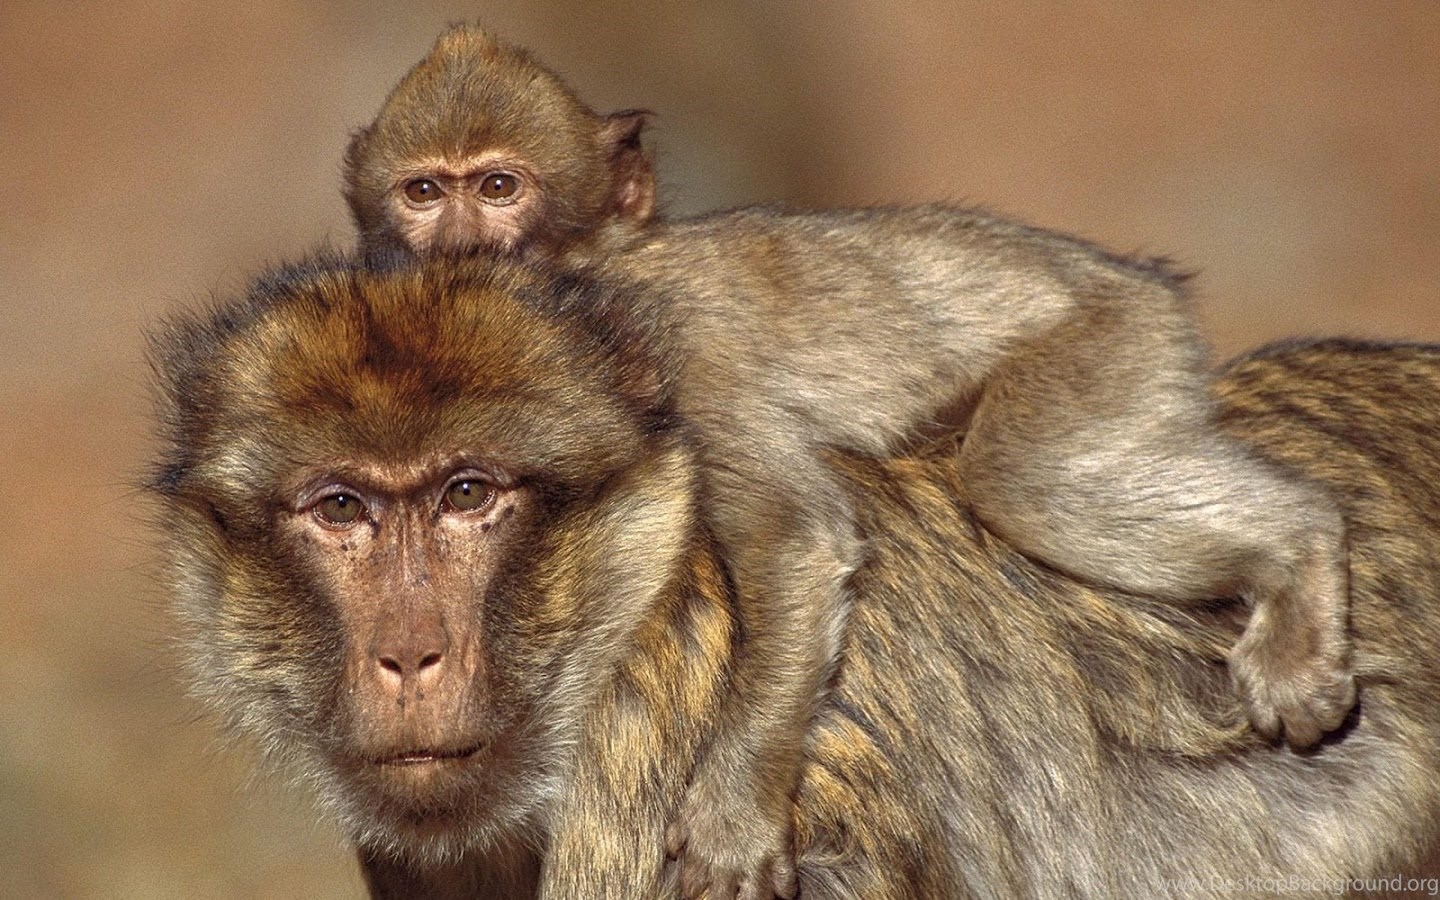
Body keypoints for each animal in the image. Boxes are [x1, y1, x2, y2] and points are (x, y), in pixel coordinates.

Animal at [338, 28, 1358, 899]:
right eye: (424, 194)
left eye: (498, 188)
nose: (461, 244)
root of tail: (1138, 281)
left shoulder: (680, 346)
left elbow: (796, 541)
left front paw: (734, 816)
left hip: (1108, 348)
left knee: (1021, 476)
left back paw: (1302, 549)